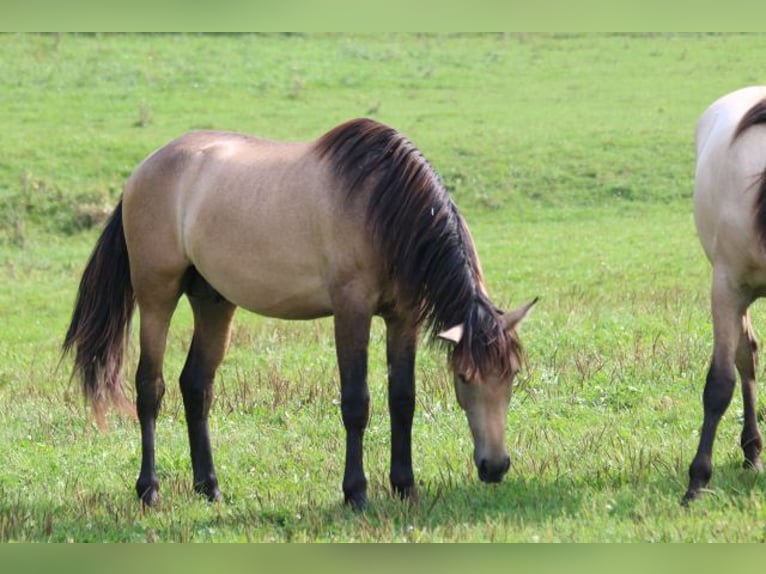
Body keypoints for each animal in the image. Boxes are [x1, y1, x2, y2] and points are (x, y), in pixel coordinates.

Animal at [63, 118, 536, 508]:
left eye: (511, 375)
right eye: (464, 377)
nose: (495, 467)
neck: (383, 208)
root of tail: (141, 172)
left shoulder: (404, 317)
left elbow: (403, 399)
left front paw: (405, 486)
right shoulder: (351, 311)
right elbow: (356, 402)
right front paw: (356, 493)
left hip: (213, 301)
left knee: (196, 386)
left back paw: (209, 487)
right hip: (156, 296)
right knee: (150, 388)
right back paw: (149, 489)